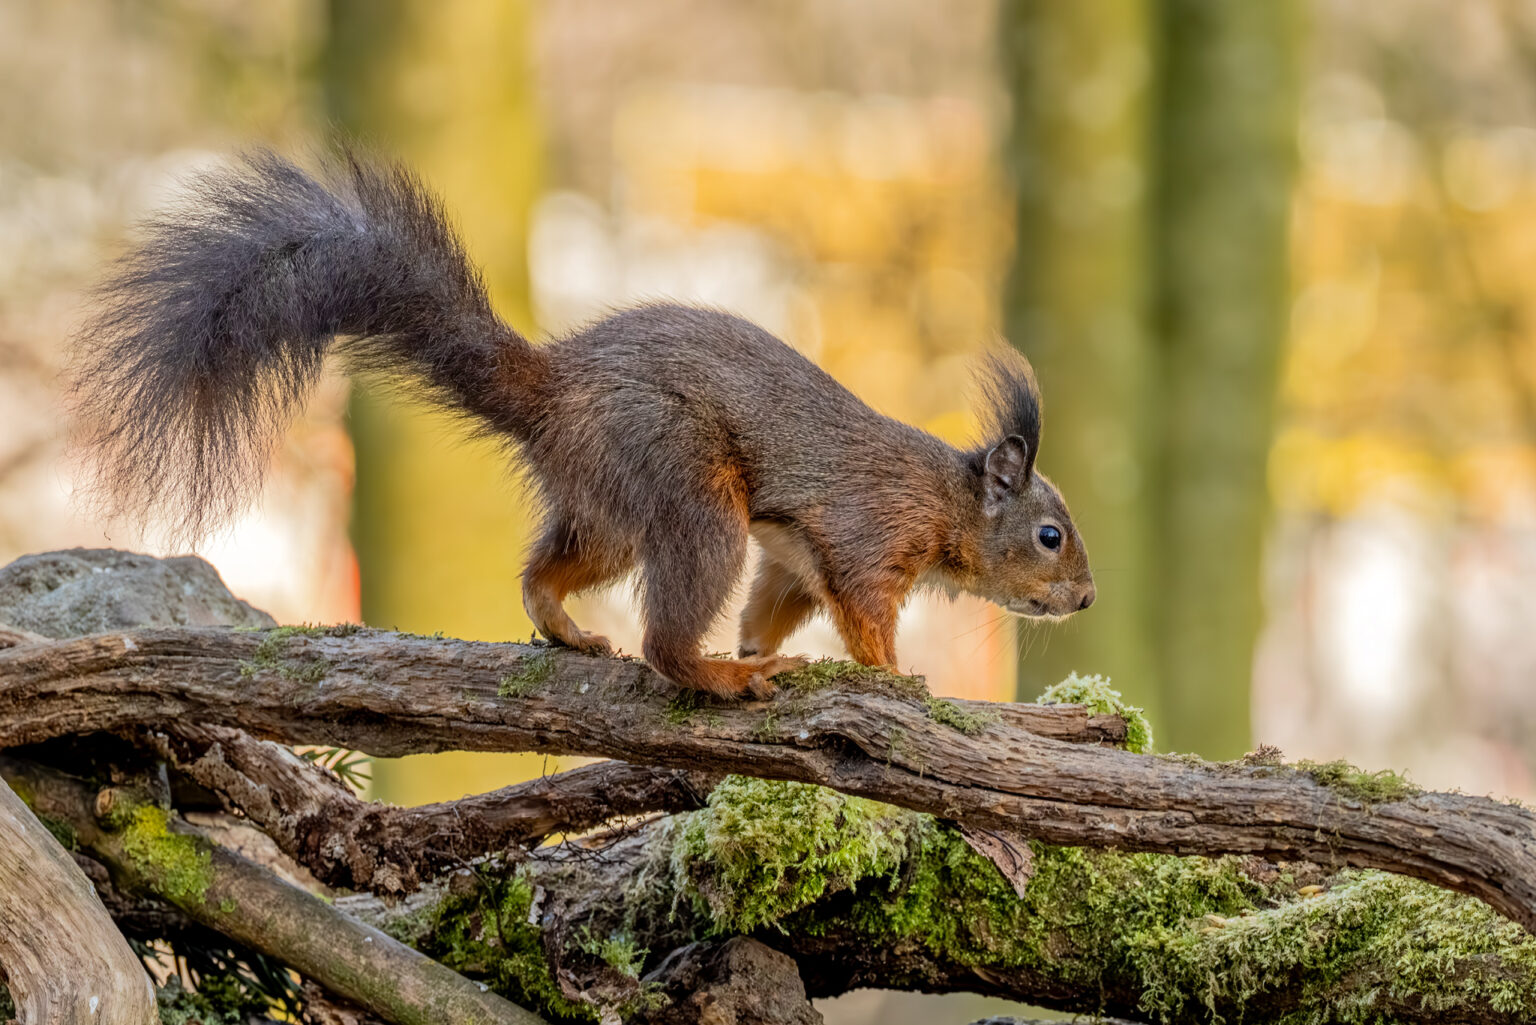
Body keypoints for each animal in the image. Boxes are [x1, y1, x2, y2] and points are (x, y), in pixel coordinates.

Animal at [69, 150, 1093, 697]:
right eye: (1050, 534)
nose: (1087, 599)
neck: (947, 499)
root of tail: (554, 389)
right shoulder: (864, 536)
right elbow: (864, 613)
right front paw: (888, 675)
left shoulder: (791, 559)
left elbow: (773, 605)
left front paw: (760, 647)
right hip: (685, 486)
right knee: (664, 640)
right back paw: (715, 675)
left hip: (606, 507)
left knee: (546, 568)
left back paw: (567, 630)